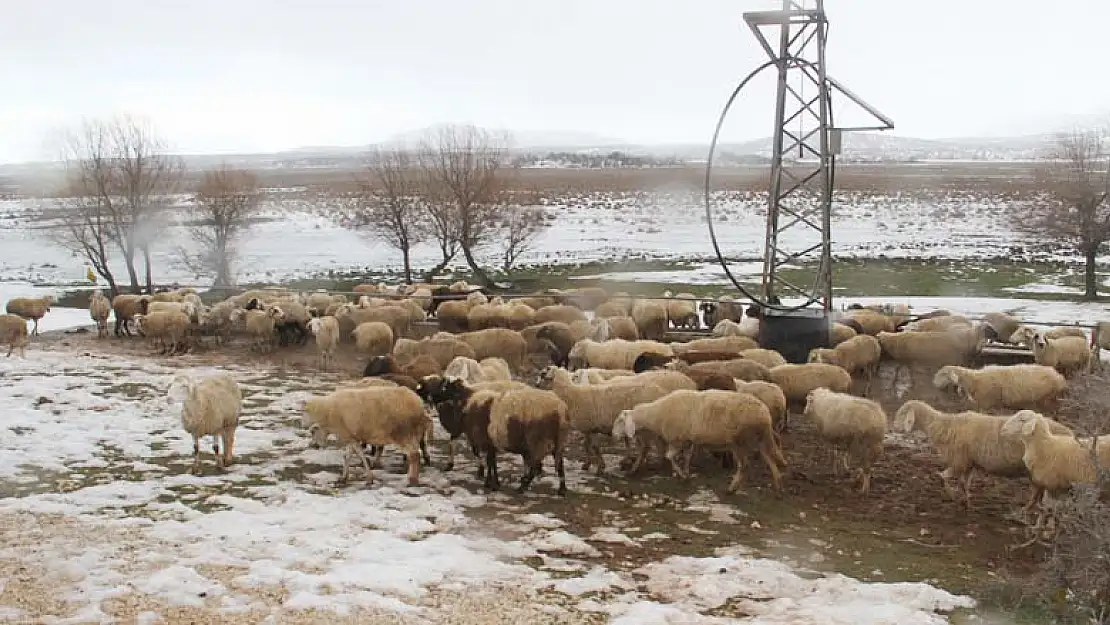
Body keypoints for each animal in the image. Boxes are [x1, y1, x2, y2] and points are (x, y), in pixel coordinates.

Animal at [535, 364, 666, 472]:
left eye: (543, 374)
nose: (536, 385)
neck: (573, 395)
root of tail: (661, 392)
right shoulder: (587, 428)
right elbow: (586, 445)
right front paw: (587, 464)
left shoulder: (591, 427)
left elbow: (595, 447)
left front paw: (600, 467)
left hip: (643, 426)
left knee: (645, 447)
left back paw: (635, 468)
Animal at [612, 390, 785, 495]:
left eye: (620, 420)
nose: (613, 434)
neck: (656, 415)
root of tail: (764, 413)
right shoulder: (688, 440)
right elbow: (687, 457)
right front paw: (687, 473)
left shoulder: (677, 439)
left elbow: (669, 456)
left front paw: (682, 475)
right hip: (759, 439)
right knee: (769, 459)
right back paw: (777, 485)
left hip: (740, 441)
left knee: (745, 466)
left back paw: (732, 489)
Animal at [892, 399, 1074, 510]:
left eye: (902, 413)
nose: (893, 427)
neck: (943, 425)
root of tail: (1070, 435)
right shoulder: (969, 463)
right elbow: (963, 484)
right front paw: (966, 502)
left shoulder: (959, 461)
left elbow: (942, 477)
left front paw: (952, 496)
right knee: (1039, 492)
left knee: (1040, 493)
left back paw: (1029, 511)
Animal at [932, 364, 1070, 412]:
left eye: (943, 374)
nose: (933, 383)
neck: (975, 380)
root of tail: (1059, 376)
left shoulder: (986, 402)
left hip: (1047, 396)